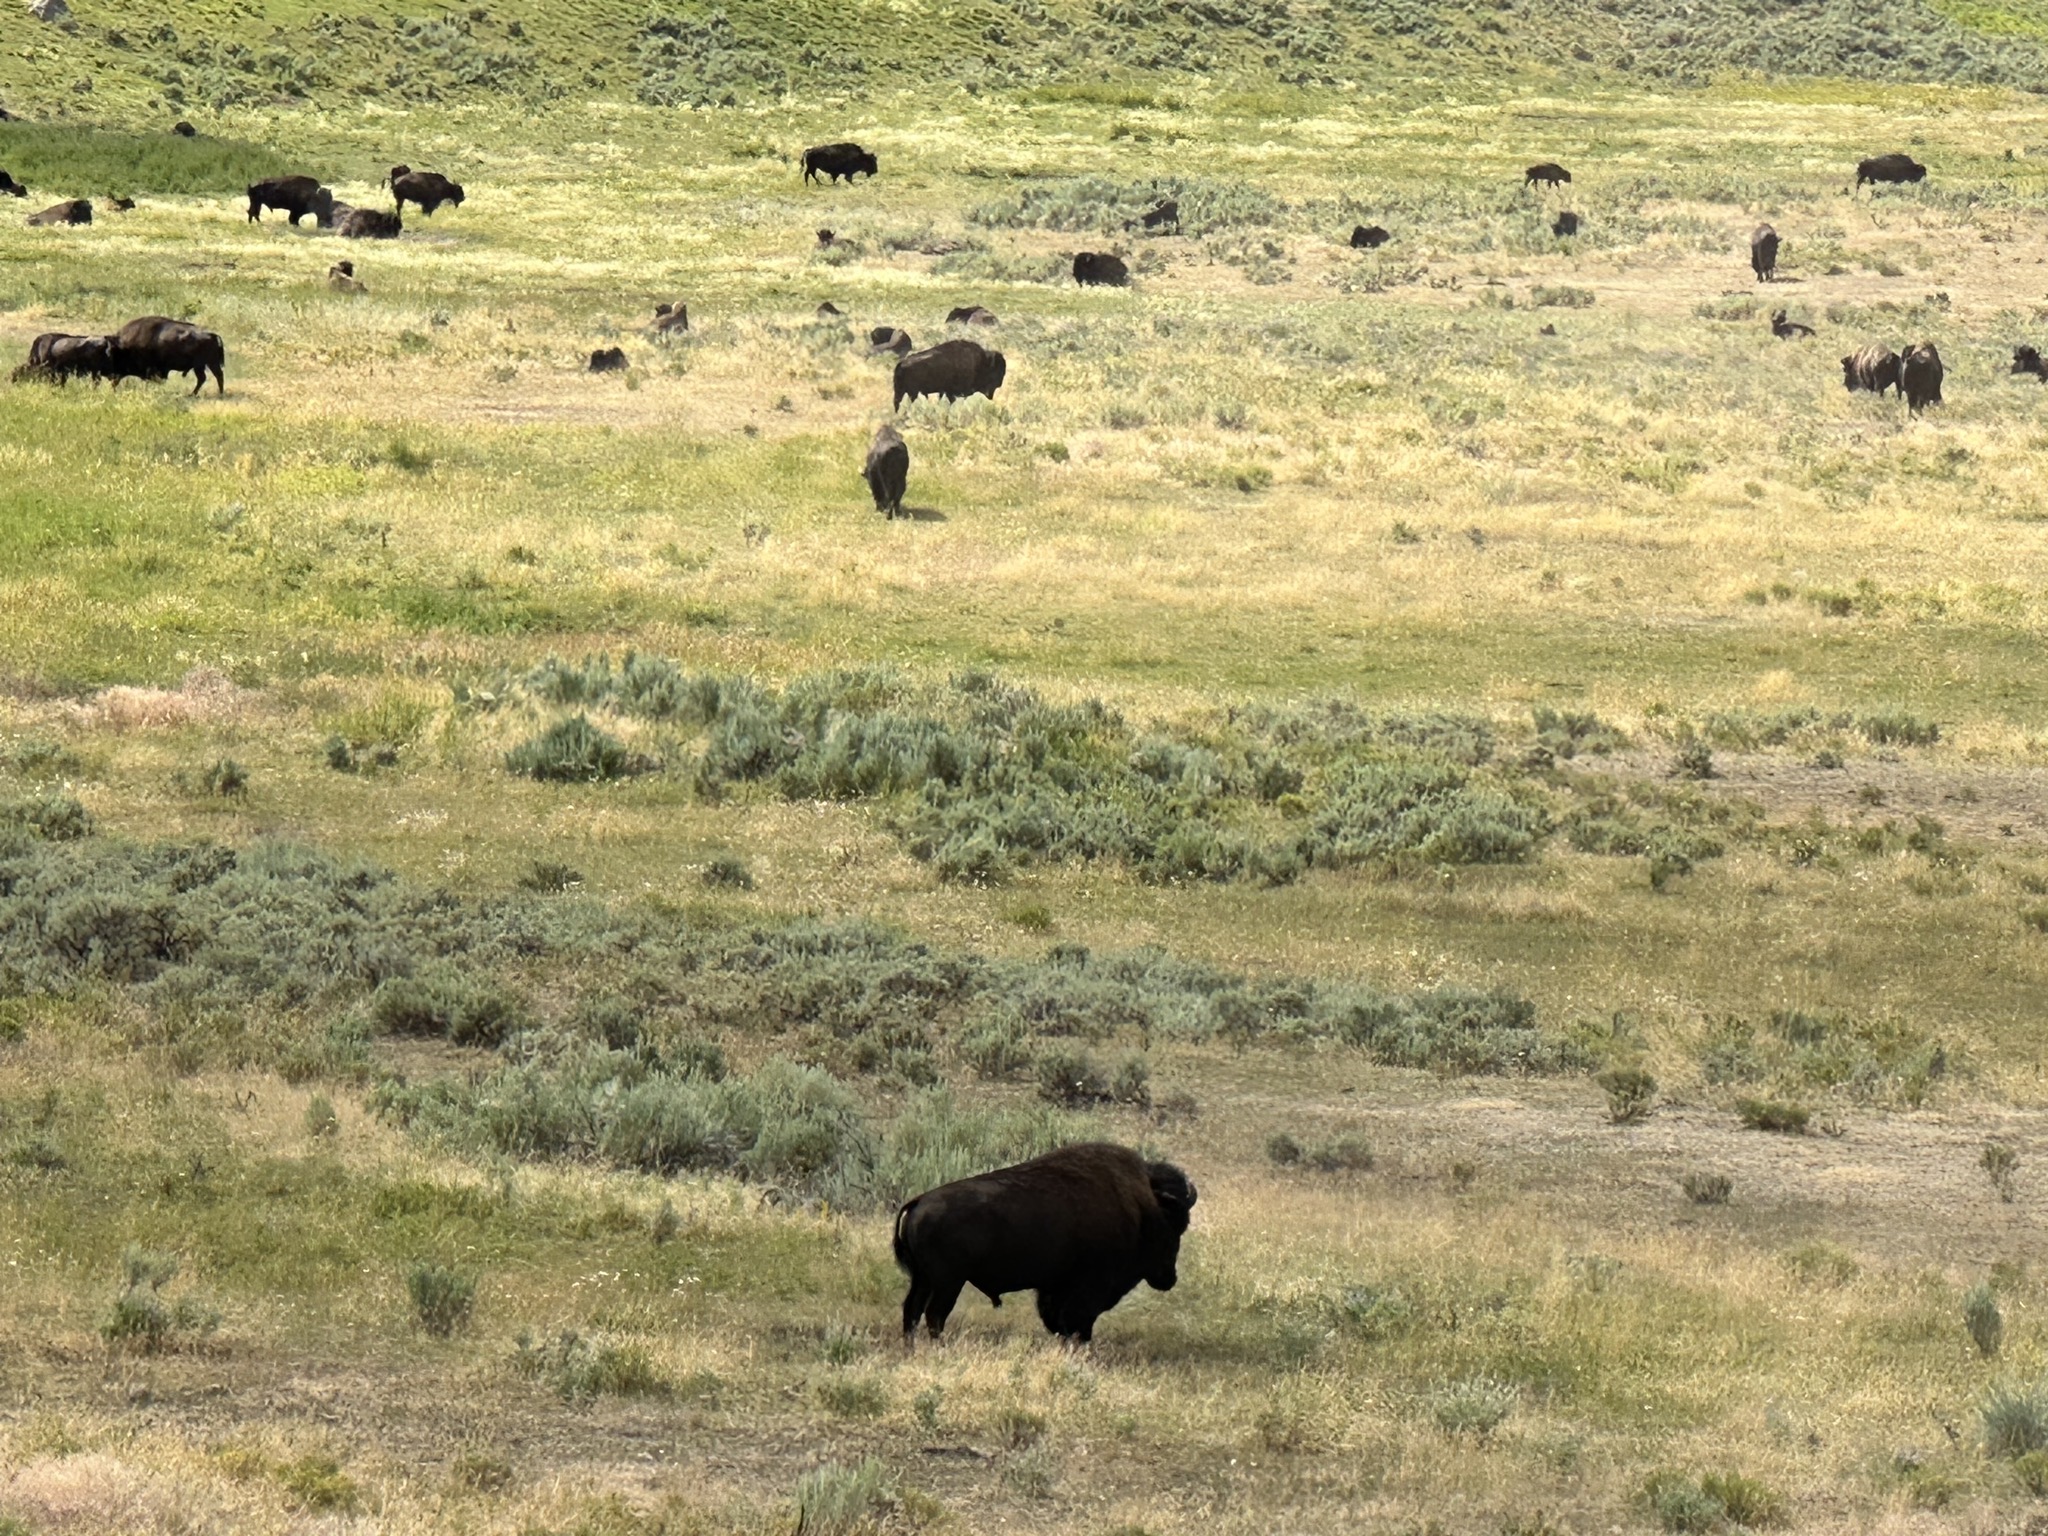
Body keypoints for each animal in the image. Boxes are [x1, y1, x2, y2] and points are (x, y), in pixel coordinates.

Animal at [893, 1142, 1197, 1346]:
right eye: (1176, 1226)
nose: (1169, 1278)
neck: (1143, 1206)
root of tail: (918, 1202)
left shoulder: (1055, 1287)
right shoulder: (1087, 1287)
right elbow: (1076, 1321)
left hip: (923, 1280)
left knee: (912, 1311)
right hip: (948, 1282)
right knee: (934, 1315)